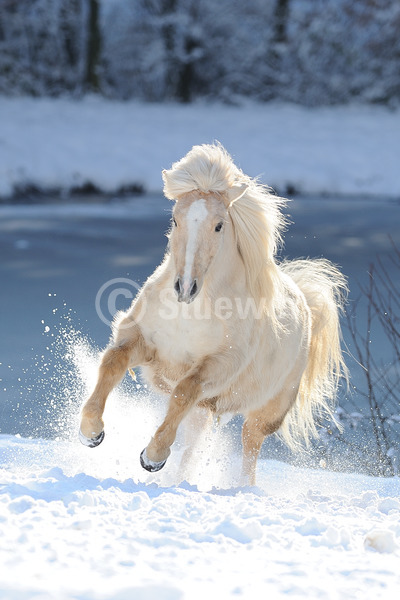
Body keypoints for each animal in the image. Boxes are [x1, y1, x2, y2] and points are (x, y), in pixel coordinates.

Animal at [79, 143, 346, 486]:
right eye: (175, 219)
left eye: (219, 225)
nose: (185, 288)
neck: (188, 315)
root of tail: (304, 302)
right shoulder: (143, 340)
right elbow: (113, 362)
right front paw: (91, 432)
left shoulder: (219, 365)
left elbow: (183, 391)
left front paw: (152, 457)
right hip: (204, 411)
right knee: (192, 445)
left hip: (267, 411)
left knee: (250, 443)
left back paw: (241, 488)